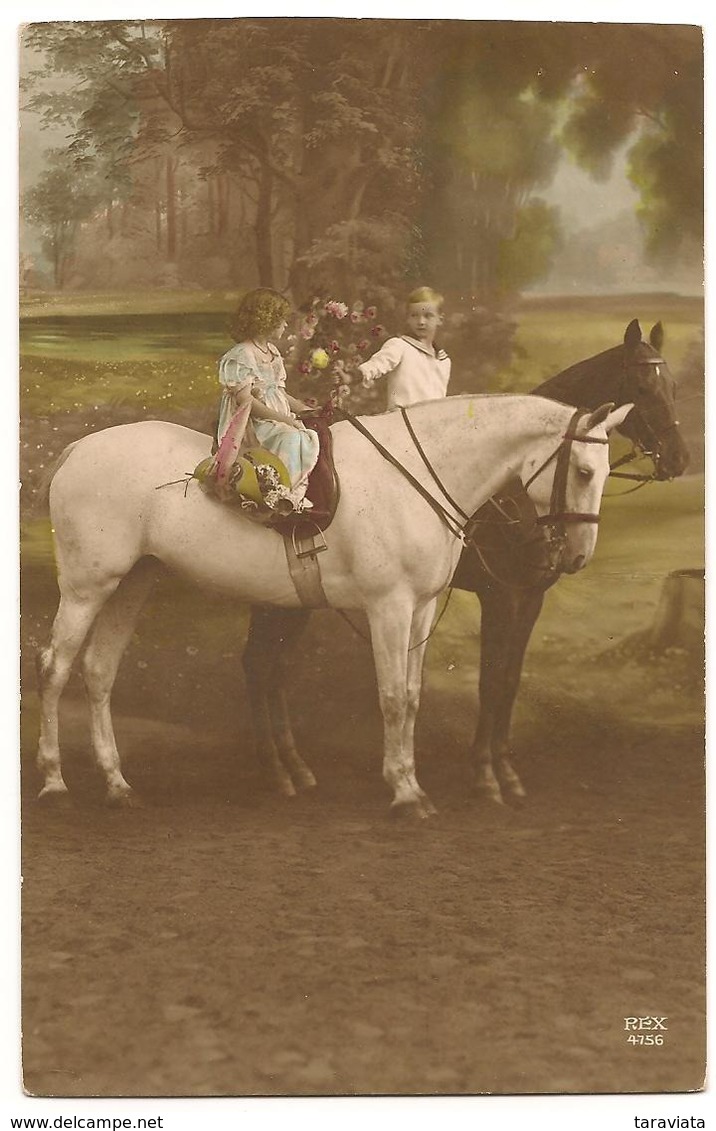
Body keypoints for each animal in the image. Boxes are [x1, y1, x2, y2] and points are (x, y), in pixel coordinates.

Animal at [37, 395, 628, 814]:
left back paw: (117, 784)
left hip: (134, 583)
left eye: (604, 471)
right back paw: (54, 780)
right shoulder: (390, 607)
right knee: (55, 669)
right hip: (89, 587)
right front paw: (405, 793)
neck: (416, 474)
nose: (577, 555)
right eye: (583, 472)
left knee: (99, 672)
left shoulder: (420, 610)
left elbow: (413, 696)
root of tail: (77, 452)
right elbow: (393, 698)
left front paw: (411, 779)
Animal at [244, 321, 687, 805]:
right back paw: (277, 770)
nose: (680, 458)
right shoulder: (501, 597)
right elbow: (490, 681)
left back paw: (294, 767)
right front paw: (486, 774)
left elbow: (510, 681)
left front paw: (505, 768)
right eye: (643, 388)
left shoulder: (530, 599)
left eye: (673, 386)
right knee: (260, 666)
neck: (512, 488)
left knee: (273, 669)